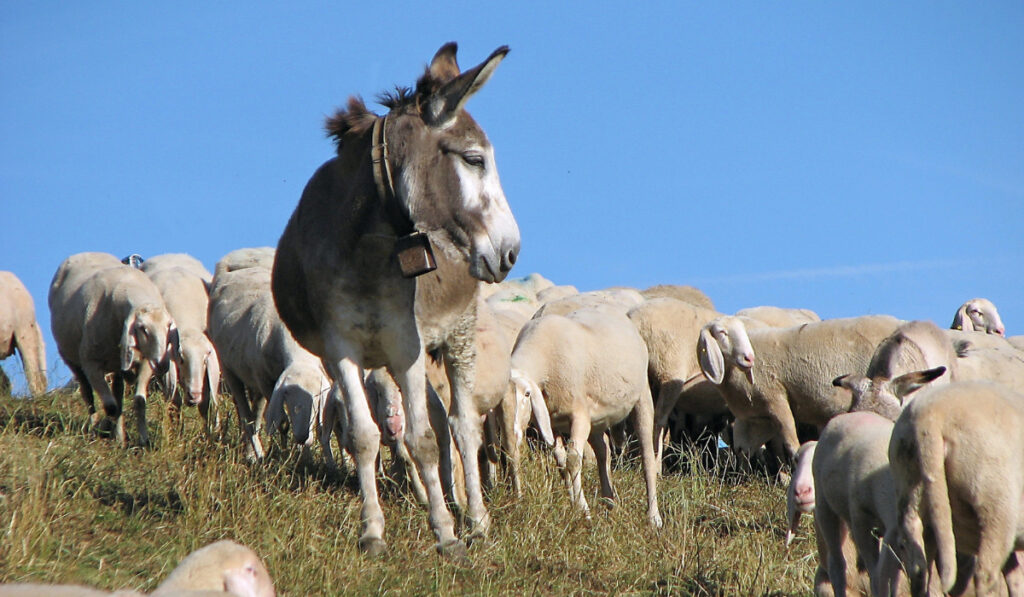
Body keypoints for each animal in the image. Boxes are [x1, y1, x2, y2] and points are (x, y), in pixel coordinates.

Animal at [48, 251, 176, 448]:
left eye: (169, 326)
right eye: (143, 328)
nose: (162, 364)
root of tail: (85, 252)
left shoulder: (146, 362)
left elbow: (139, 402)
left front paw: (142, 440)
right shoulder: (91, 364)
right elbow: (110, 407)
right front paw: (107, 429)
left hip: (116, 364)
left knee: (118, 393)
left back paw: (119, 434)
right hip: (71, 358)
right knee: (88, 393)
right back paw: (94, 427)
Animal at [512, 309, 663, 528]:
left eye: (527, 394)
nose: (513, 431)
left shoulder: (579, 414)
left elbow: (573, 460)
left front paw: (583, 512)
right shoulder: (552, 422)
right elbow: (561, 461)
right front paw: (575, 505)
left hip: (642, 395)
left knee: (647, 456)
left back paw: (654, 517)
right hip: (597, 417)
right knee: (604, 450)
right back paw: (609, 503)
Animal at [696, 315, 905, 464]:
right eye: (721, 332)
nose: (749, 358)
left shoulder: (776, 399)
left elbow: (790, 445)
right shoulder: (760, 416)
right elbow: (746, 449)